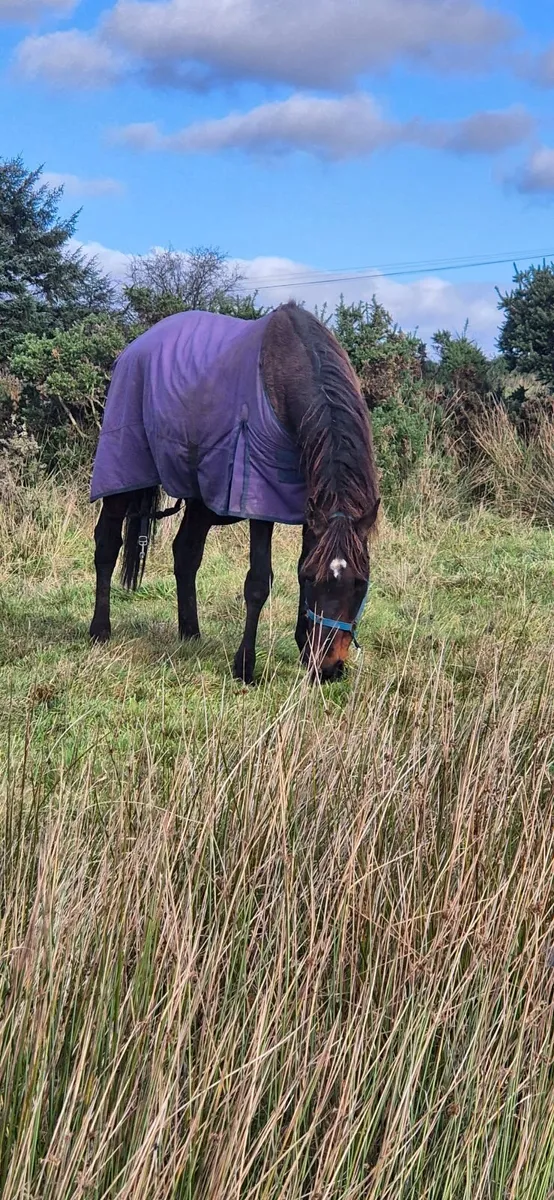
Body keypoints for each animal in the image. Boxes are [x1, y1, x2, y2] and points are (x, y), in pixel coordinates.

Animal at [89, 301, 380, 683]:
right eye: (314, 580)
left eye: (360, 583)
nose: (328, 669)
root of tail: (134, 349)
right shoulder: (259, 498)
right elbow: (258, 582)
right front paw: (244, 666)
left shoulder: (310, 509)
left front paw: (303, 648)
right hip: (123, 471)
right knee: (107, 543)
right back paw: (100, 630)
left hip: (202, 496)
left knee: (186, 553)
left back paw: (190, 632)